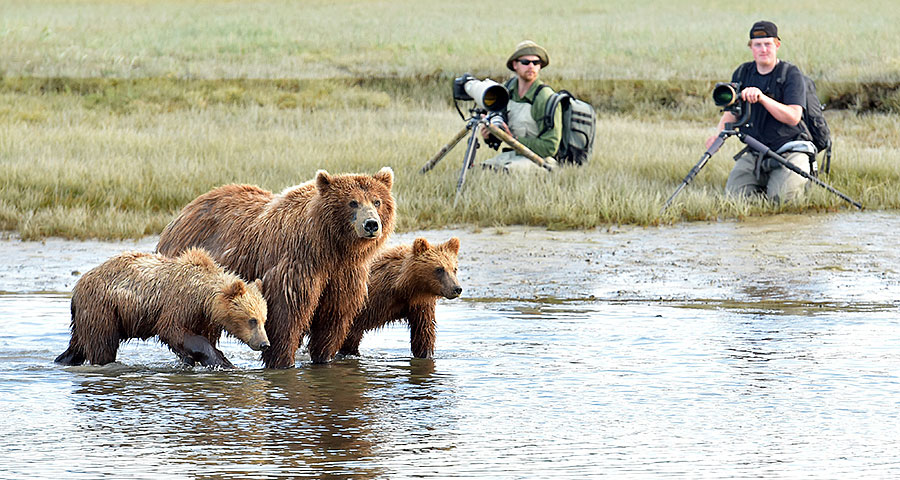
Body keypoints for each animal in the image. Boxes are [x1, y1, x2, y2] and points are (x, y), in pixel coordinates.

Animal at [53, 248, 268, 368]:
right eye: (252, 320)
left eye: (264, 320)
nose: (264, 344)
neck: (204, 299)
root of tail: (77, 287)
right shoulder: (180, 303)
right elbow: (172, 330)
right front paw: (221, 361)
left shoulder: (203, 319)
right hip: (102, 307)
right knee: (101, 344)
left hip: (90, 314)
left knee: (79, 344)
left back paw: (62, 359)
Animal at [157, 169, 394, 368]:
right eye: (353, 202)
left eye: (377, 201)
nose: (371, 224)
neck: (329, 247)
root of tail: (182, 213)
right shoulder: (296, 266)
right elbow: (285, 319)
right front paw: (282, 362)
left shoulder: (344, 275)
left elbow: (332, 320)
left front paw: (323, 358)